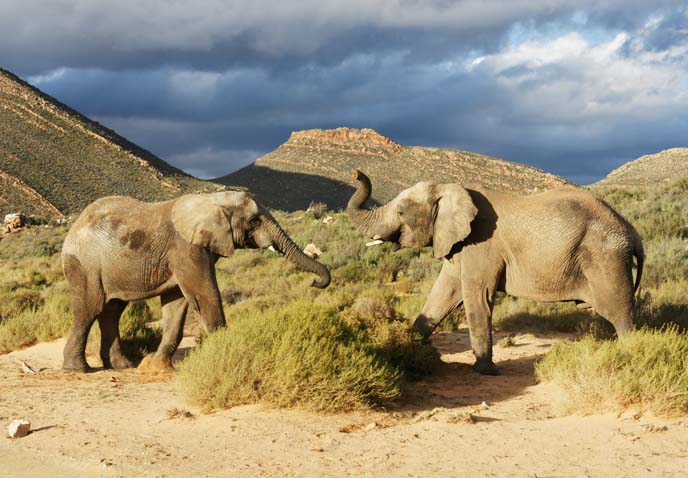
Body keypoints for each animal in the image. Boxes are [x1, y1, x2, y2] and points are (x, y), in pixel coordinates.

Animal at [60, 190, 330, 374]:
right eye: (254, 221)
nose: (315, 282)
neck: (213, 200)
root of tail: (74, 228)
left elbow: (176, 304)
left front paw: (158, 368)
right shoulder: (185, 248)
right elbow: (204, 294)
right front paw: (223, 356)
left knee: (112, 311)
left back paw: (122, 366)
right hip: (84, 265)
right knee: (89, 310)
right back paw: (78, 369)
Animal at [350, 170, 644, 376]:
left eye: (401, 212)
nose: (356, 173)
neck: (450, 188)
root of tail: (632, 232)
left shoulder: (482, 243)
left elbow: (476, 295)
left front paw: (484, 371)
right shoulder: (459, 242)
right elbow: (444, 293)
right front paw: (409, 347)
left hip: (606, 258)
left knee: (619, 313)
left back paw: (631, 354)